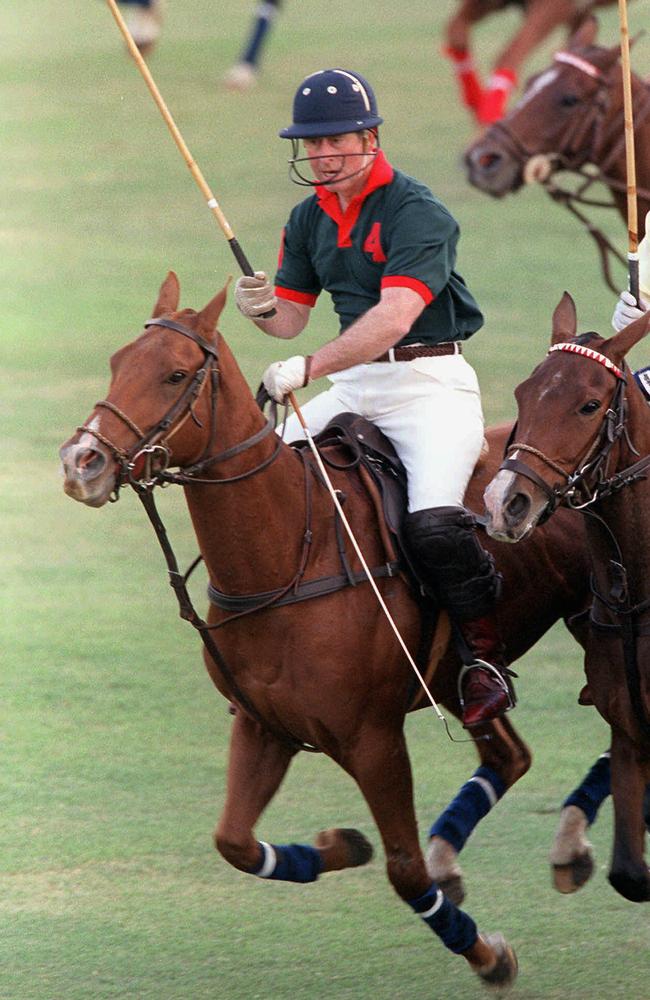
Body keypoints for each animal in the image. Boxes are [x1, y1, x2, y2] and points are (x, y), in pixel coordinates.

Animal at [58, 270, 600, 988]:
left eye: (175, 374)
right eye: (118, 362)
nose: (80, 462)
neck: (286, 554)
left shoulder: (372, 739)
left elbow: (405, 872)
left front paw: (489, 955)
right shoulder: (261, 722)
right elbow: (233, 841)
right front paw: (339, 843)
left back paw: (570, 841)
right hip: (458, 679)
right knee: (509, 754)